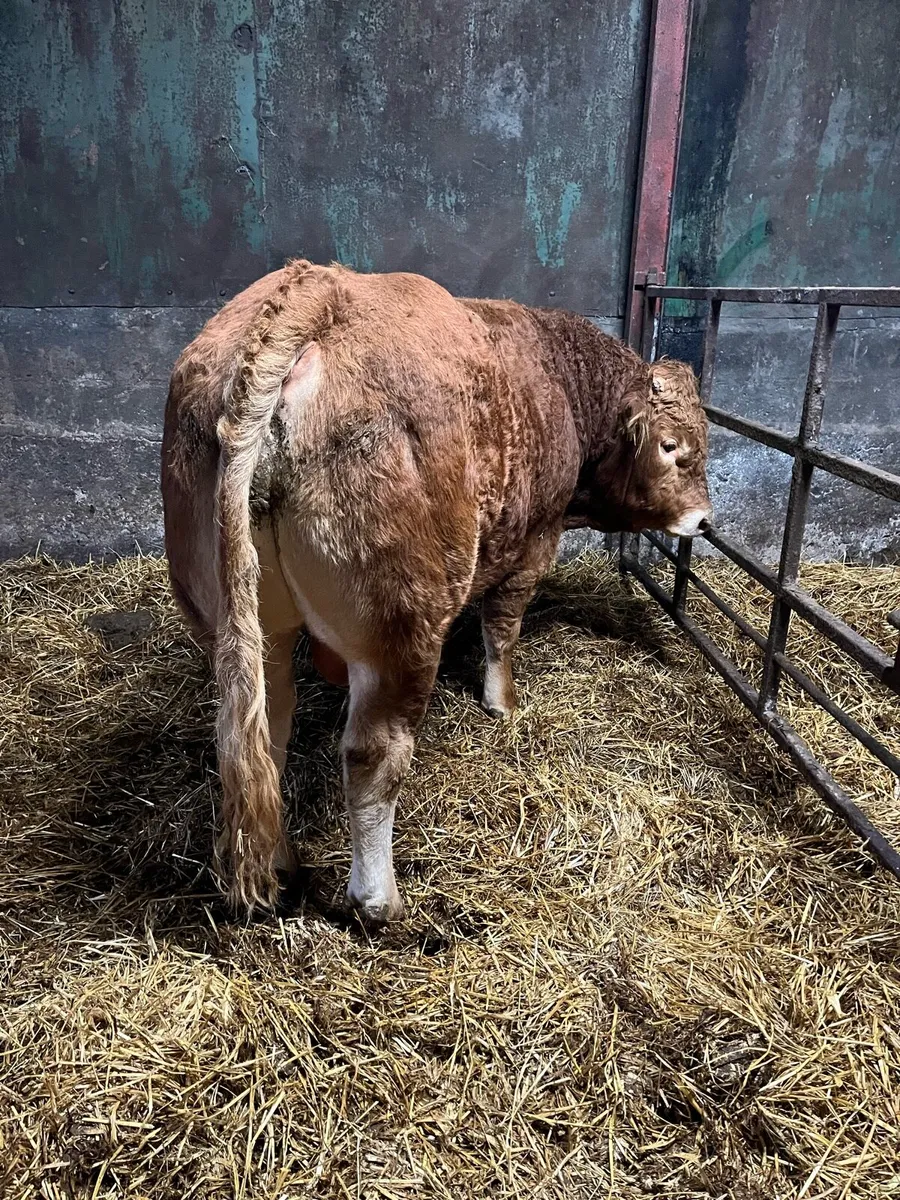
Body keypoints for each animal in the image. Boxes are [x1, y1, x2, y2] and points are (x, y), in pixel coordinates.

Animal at [161, 260, 711, 921]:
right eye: (672, 447)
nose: (704, 520)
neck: (556, 381)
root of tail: (316, 289)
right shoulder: (535, 540)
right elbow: (503, 629)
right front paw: (503, 703)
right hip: (400, 625)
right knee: (373, 755)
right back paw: (379, 901)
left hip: (249, 626)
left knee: (263, 738)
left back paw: (284, 864)